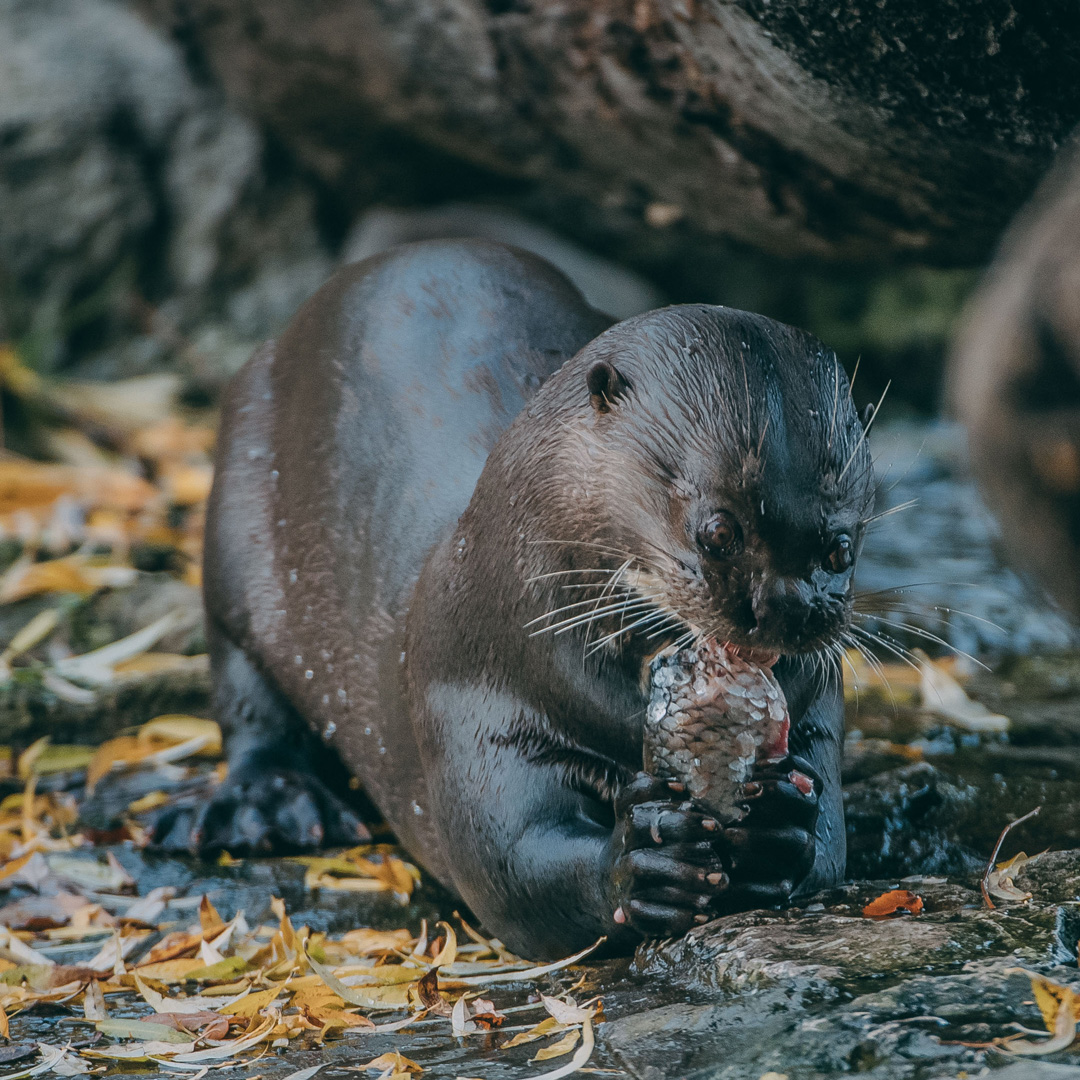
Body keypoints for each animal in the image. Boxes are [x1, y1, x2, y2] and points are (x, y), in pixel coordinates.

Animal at [156, 239, 874, 959]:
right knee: (245, 687)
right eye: (719, 530)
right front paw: (640, 860)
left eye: (841, 546)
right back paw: (265, 806)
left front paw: (782, 825)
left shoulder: (816, 704)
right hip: (235, 524)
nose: (790, 608)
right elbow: (510, 860)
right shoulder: (473, 687)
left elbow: (831, 844)